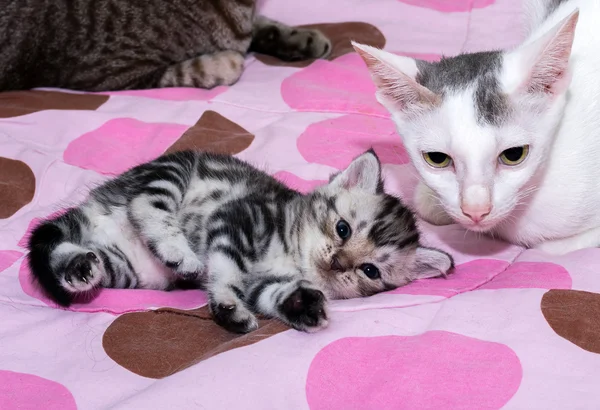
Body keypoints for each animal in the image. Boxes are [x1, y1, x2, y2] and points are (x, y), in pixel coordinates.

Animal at [27, 151, 450, 334]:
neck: (294, 254)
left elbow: (269, 294)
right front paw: (228, 306)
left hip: (127, 268)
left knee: (77, 253)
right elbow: (226, 271)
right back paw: (176, 250)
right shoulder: (235, 220)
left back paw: (79, 267)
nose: (337, 263)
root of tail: (98, 205)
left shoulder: (265, 279)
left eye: (370, 270)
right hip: (171, 169)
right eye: (343, 229)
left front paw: (302, 306)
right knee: (145, 204)